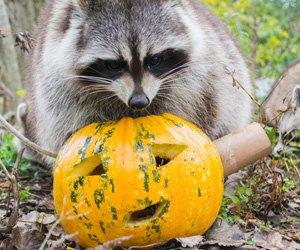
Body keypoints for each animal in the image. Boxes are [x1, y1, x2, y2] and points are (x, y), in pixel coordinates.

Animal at [19, 0, 253, 169]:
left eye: (155, 60)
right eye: (114, 65)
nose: (139, 101)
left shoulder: (197, 78)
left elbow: (192, 111)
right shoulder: (57, 85)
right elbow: (67, 128)